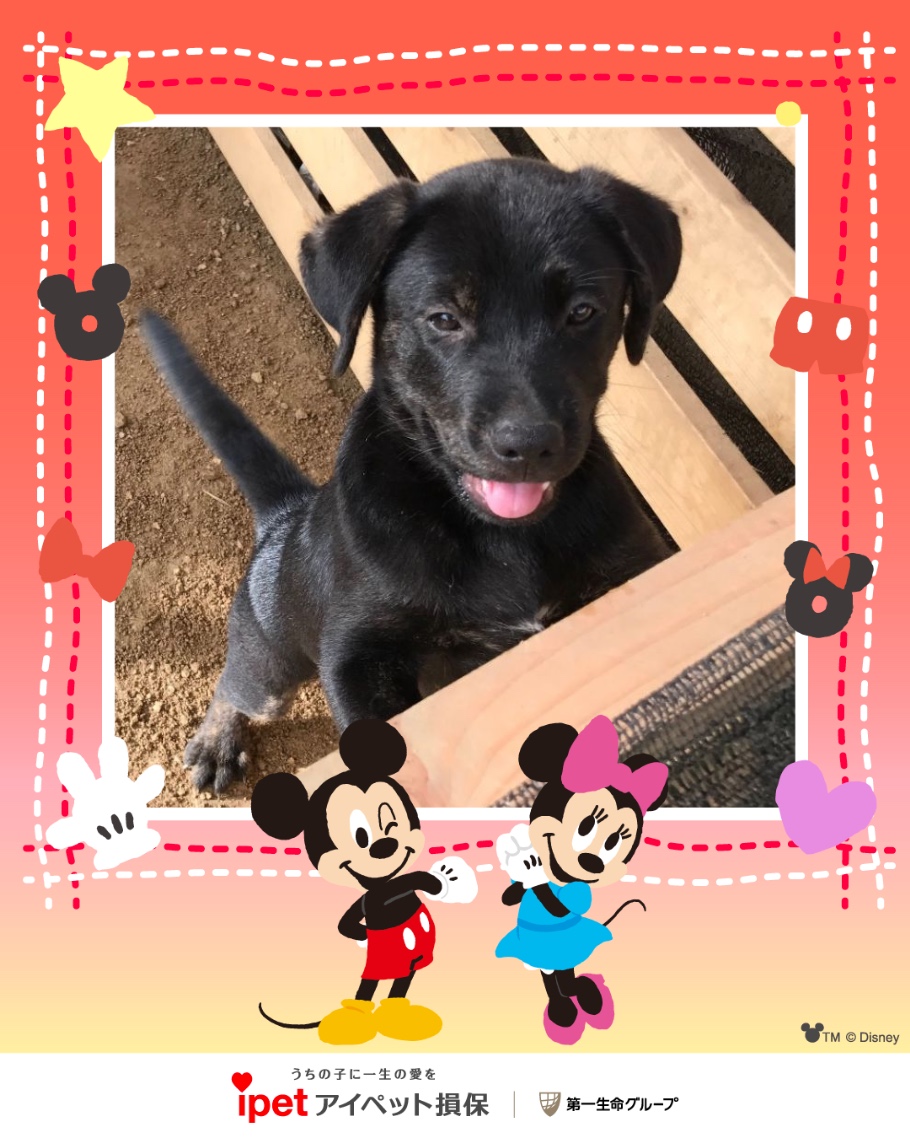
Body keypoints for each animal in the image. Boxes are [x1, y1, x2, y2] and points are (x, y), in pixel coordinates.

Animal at [141, 155, 682, 794]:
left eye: (582, 312)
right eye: (444, 318)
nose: (527, 444)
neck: (502, 540)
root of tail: (284, 517)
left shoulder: (637, 572)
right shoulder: (355, 656)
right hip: (269, 662)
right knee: (235, 685)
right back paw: (217, 740)